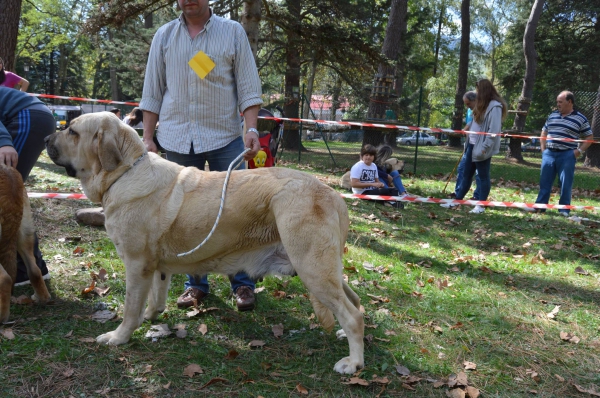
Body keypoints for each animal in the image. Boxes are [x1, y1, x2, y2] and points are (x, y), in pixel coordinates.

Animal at [44, 112, 364, 374]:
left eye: (72, 131)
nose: (46, 137)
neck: (124, 172)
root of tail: (332, 195)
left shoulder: (136, 265)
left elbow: (130, 308)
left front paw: (118, 337)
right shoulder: (156, 267)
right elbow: (155, 297)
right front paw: (151, 316)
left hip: (312, 268)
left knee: (351, 316)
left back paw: (353, 362)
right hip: (326, 269)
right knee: (355, 303)